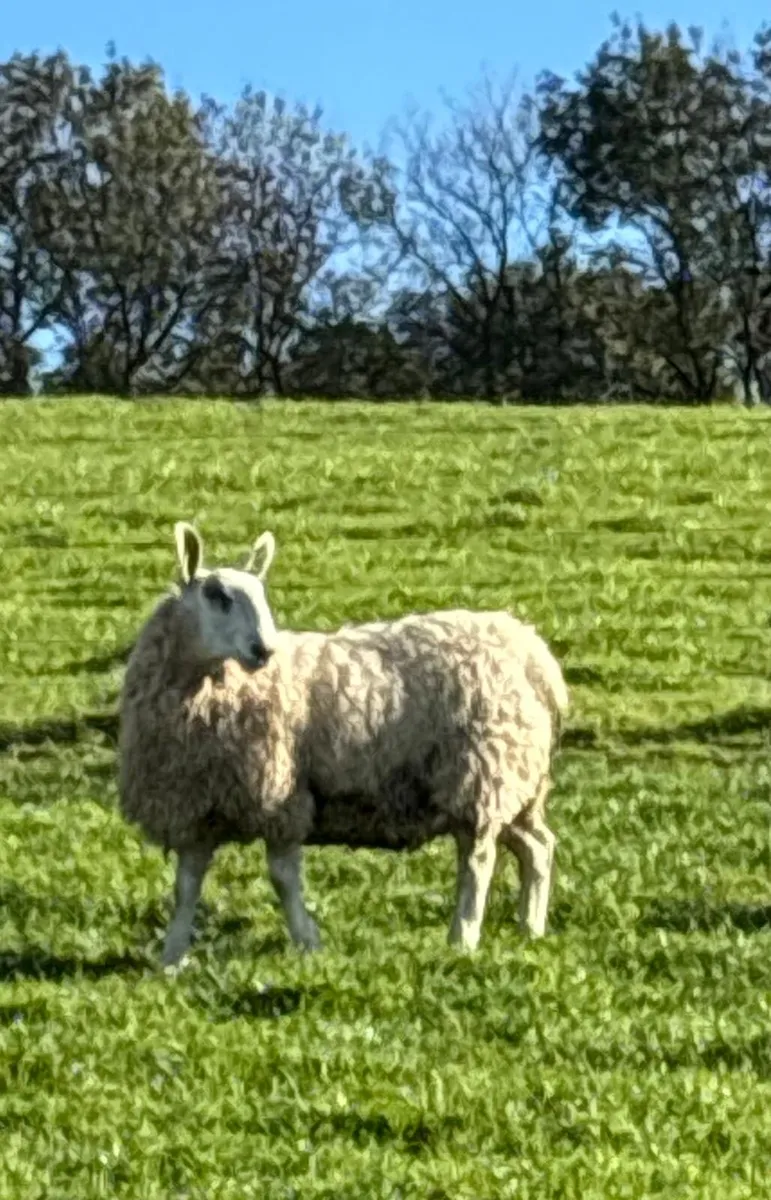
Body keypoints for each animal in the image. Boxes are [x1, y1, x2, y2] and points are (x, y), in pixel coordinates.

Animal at [118, 521, 569, 966]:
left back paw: (464, 937)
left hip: (479, 772)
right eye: (217, 596)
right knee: (538, 846)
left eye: (261, 594)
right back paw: (530, 928)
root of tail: (529, 650)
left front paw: (307, 942)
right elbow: (186, 886)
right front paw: (171, 959)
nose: (264, 650)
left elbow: (282, 878)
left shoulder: (282, 796)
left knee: (478, 859)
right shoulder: (195, 806)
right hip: (517, 780)